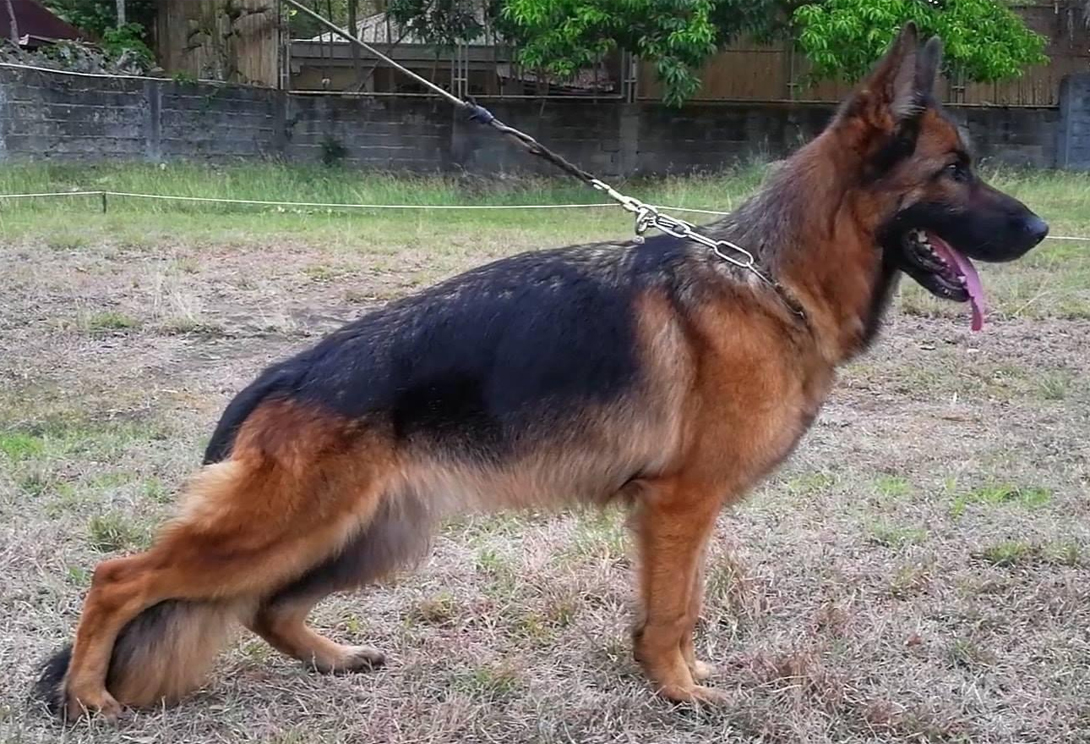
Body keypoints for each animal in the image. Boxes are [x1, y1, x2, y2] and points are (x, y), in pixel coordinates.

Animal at [37, 23, 1048, 719]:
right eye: (956, 170)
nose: (1042, 229)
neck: (772, 279)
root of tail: (285, 371)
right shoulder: (679, 508)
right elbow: (674, 611)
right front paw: (679, 693)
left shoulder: (675, 516)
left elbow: (673, 608)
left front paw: (673, 678)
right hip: (289, 527)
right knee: (119, 577)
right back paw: (87, 696)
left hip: (368, 535)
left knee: (260, 609)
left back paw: (333, 658)